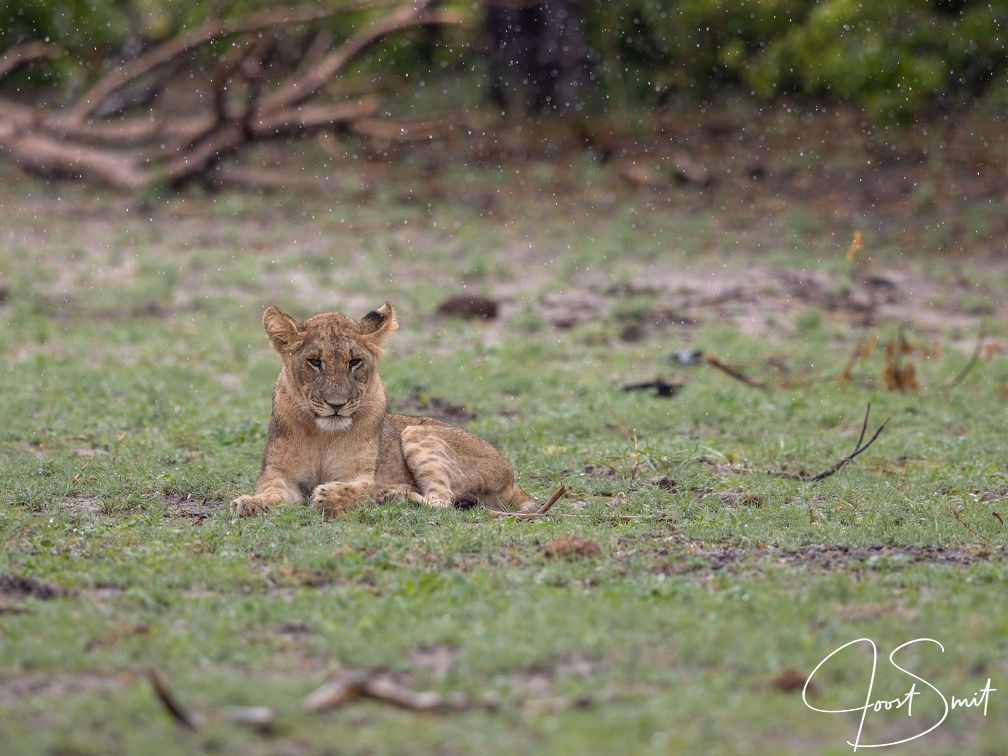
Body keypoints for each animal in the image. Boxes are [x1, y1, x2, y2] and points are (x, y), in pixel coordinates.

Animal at [232, 303, 537, 517]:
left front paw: (330, 497)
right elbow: (269, 491)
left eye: (354, 362)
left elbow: (359, 489)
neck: (323, 435)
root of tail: (511, 476)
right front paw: (250, 503)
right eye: (314, 362)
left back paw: (396, 495)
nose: (336, 404)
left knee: (443, 499)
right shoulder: (279, 474)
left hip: (417, 432)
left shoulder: (363, 475)